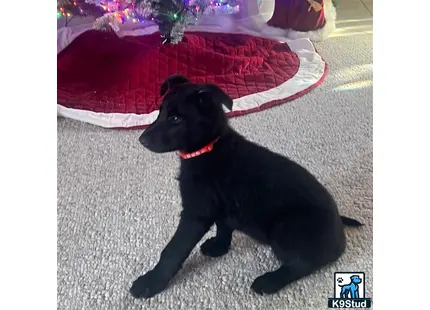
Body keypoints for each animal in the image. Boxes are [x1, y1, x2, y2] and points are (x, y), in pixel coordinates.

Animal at [129, 74, 362, 300]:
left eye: (176, 119)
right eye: (160, 112)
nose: (141, 140)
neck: (208, 148)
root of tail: (339, 229)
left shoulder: (196, 213)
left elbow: (173, 250)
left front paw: (151, 282)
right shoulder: (220, 206)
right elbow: (223, 226)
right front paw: (219, 246)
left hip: (286, 229)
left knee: (303, 263)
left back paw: (269, 281)